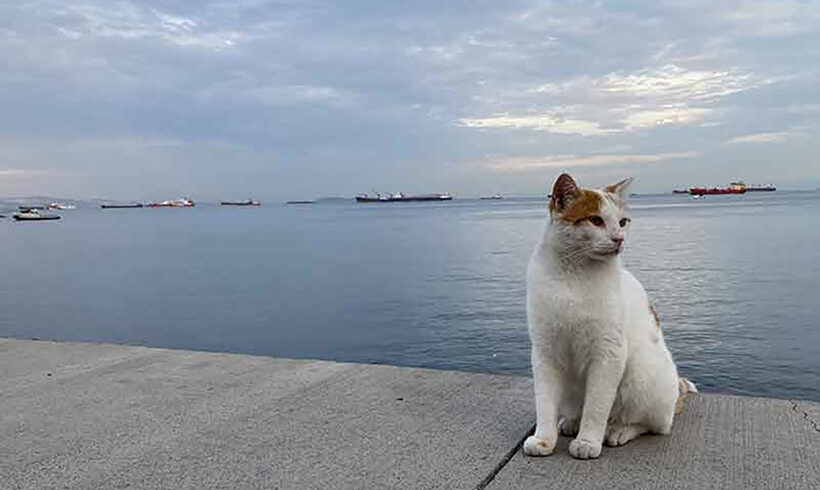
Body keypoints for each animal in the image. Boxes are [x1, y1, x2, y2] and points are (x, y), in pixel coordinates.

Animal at [524, 173, 696, 460]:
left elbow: (596, 406)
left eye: (623, 222)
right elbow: (545, 402)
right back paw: (572, 421)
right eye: (596, 220)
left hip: (641, 376)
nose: (619, 239)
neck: (574, 277)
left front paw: (588, 441)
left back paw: (617, 430)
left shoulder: (608, 353)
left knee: (654, 424)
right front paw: (544, 439)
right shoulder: (545, 352)